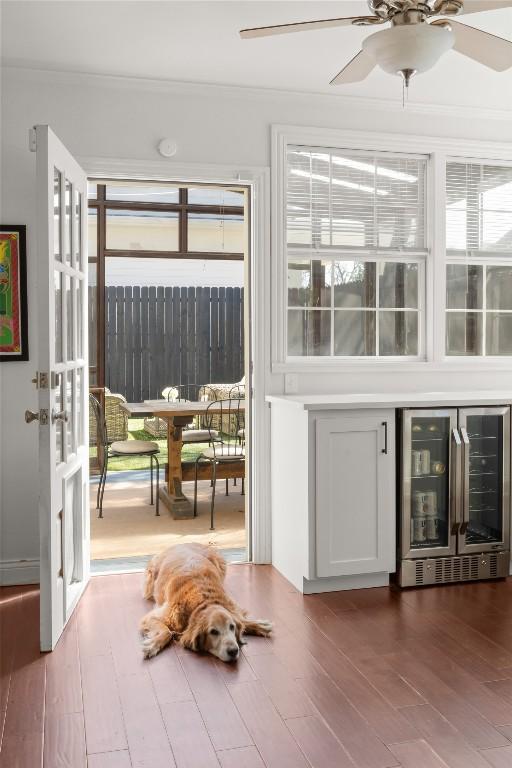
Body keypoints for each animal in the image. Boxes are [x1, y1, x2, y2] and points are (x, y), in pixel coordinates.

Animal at [138, 544, 274, 664]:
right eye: (213, 632)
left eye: (232, 627)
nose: (234, 651)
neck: (203, 602)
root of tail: (180, 544)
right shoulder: (153, 617)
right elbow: (167, 632)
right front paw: (152, 645)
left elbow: (240, 619)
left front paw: (259, 625)